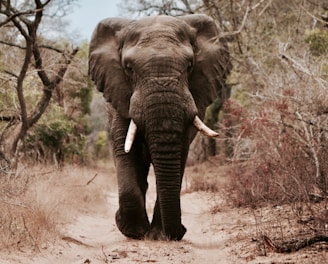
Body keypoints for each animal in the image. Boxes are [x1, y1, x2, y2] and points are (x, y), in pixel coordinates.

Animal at [88, 14, 232, 241]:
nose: (182, 230)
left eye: (189, 66)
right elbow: (125, 150)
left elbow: (179, 153)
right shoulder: (119, 95)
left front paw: (158, 235)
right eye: (128, 68)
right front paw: (134, 232)